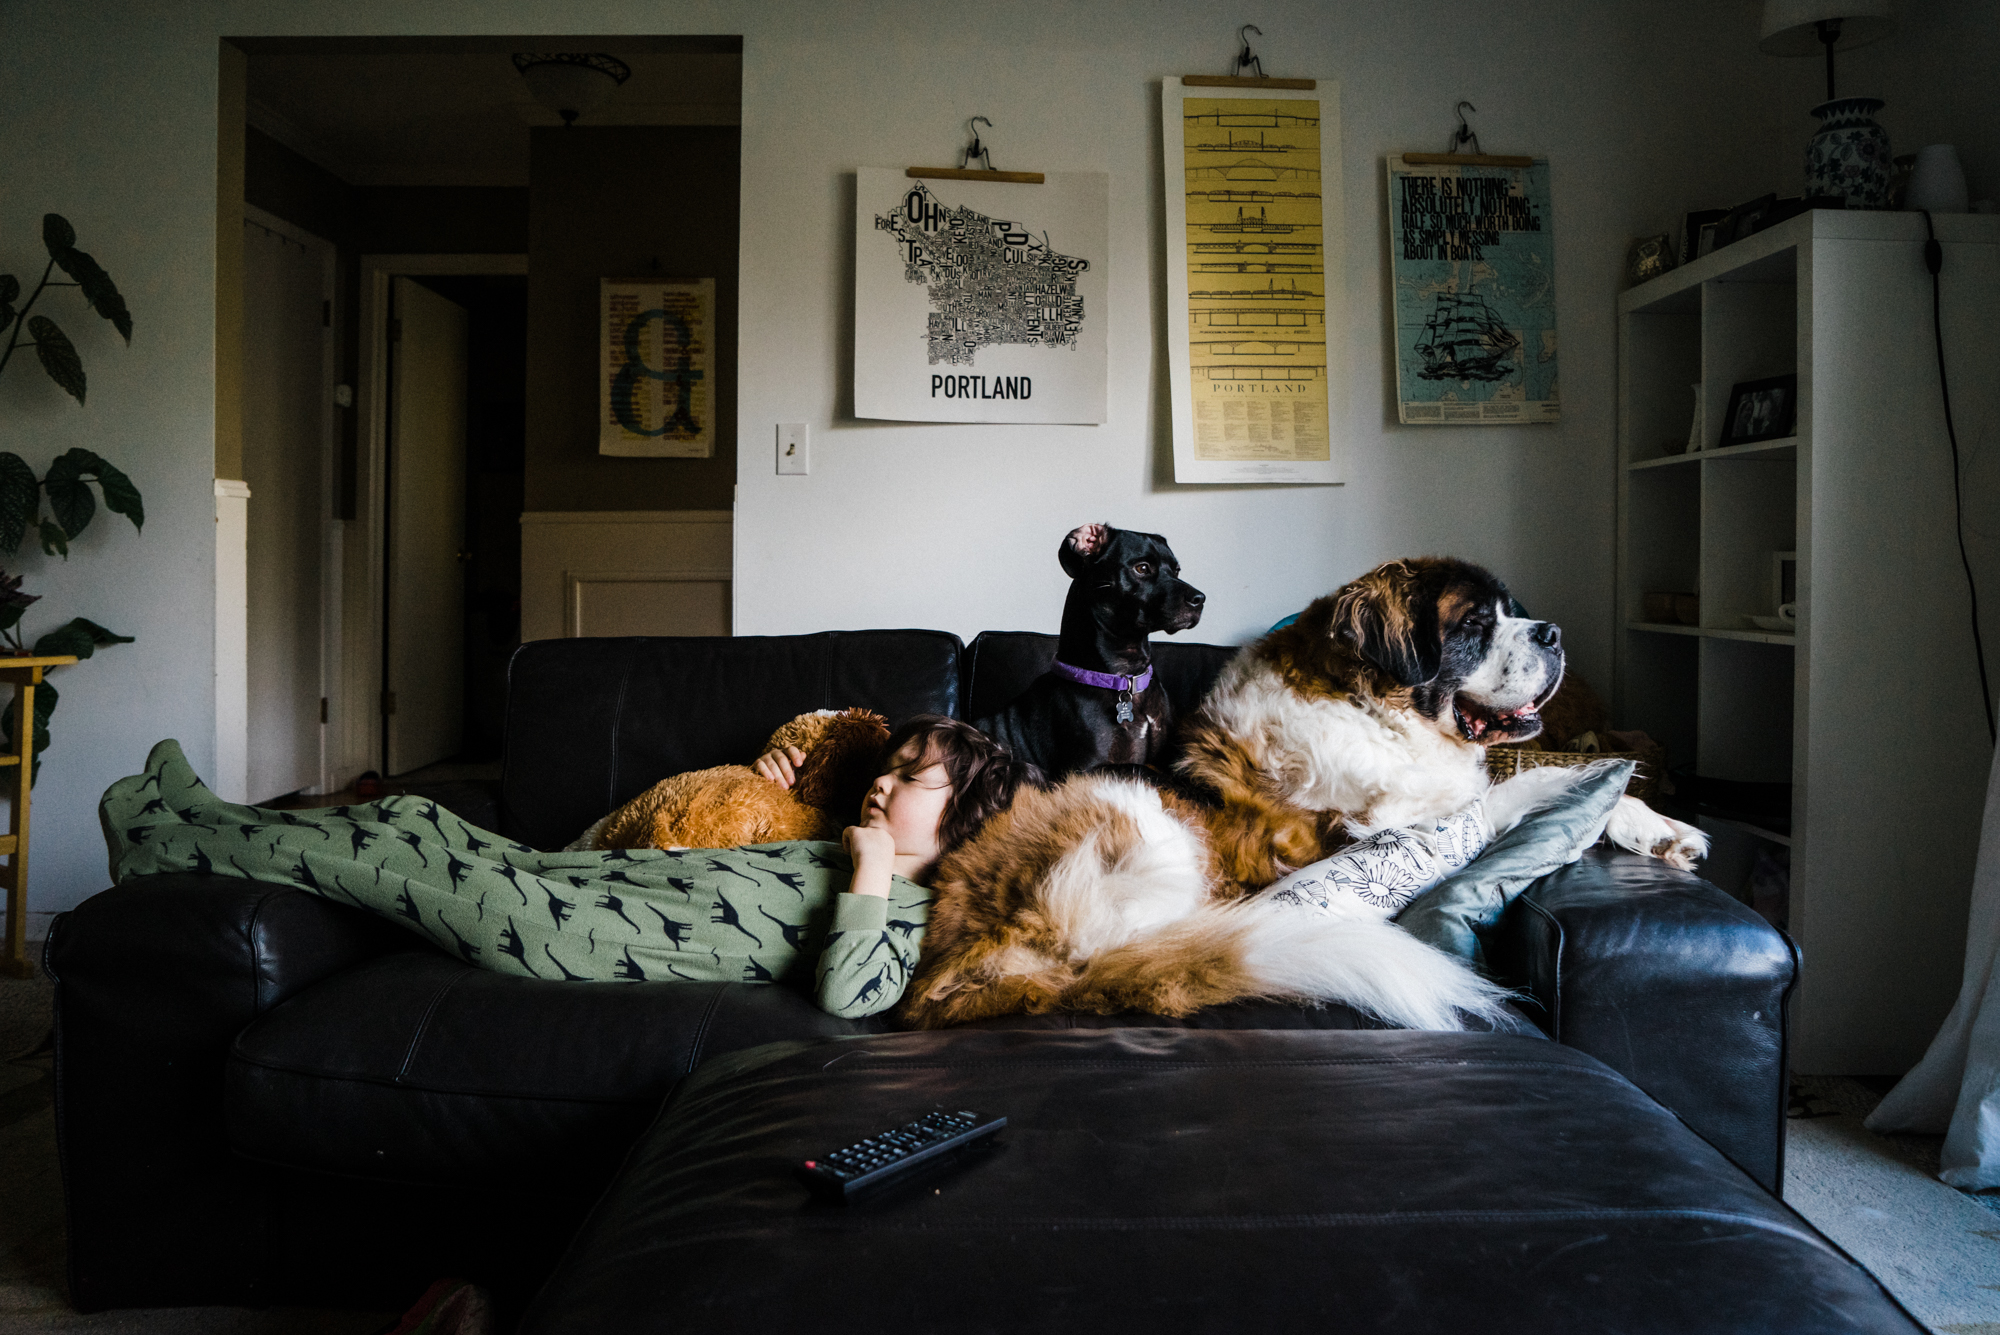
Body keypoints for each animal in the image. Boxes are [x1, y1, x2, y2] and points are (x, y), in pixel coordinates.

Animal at [904, 551, 1704, 1031]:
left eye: (1514, 610)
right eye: (1476, 623)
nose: (1553, 632)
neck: (1372, 704)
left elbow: (1531, 773)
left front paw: (1659, 825)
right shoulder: (1378, 818)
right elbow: (1516, 783)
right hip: (1149, 835)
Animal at [980, 519, 1208, 771]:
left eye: (1176, 570)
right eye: (1142, 568)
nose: (1200, 599)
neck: (1127, 676)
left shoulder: (1165, 757)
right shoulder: (1089, 767)